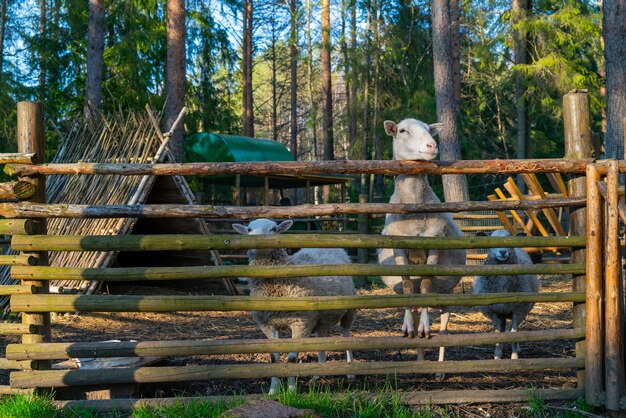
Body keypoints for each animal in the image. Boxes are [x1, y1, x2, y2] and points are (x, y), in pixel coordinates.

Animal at [230, 219, 358, 396]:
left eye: (274, 228)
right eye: (249, 229)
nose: (258, 241)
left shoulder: (300, 322)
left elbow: (291, 358)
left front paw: (291, 391)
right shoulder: (268, 324)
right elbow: (274, 358)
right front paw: (273, 391)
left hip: (348, 311)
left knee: (347, 336)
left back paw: (350, 372)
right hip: (319, 318)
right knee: (321, 339)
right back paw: (317, 375)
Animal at [372, 118, 466, 376]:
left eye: (429, 129)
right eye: (403, 130)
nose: (432, 145)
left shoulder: (434, 243)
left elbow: (425, 285)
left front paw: (425, 325)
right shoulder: (398, 248)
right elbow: (406, 287)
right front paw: (411, 328)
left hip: (447, 292)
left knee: (444, 325)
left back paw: (439, 368)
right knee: (412, 304)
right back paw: (418, 355)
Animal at [470, 229, 540, 360]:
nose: (502, 252)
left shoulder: (518, 310)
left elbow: (514, 332)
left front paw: (514, 356)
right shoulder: (492, 311)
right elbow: (498, 332)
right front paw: (497, 356)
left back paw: (517, 348)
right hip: (502, 312)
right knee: (502, 329)